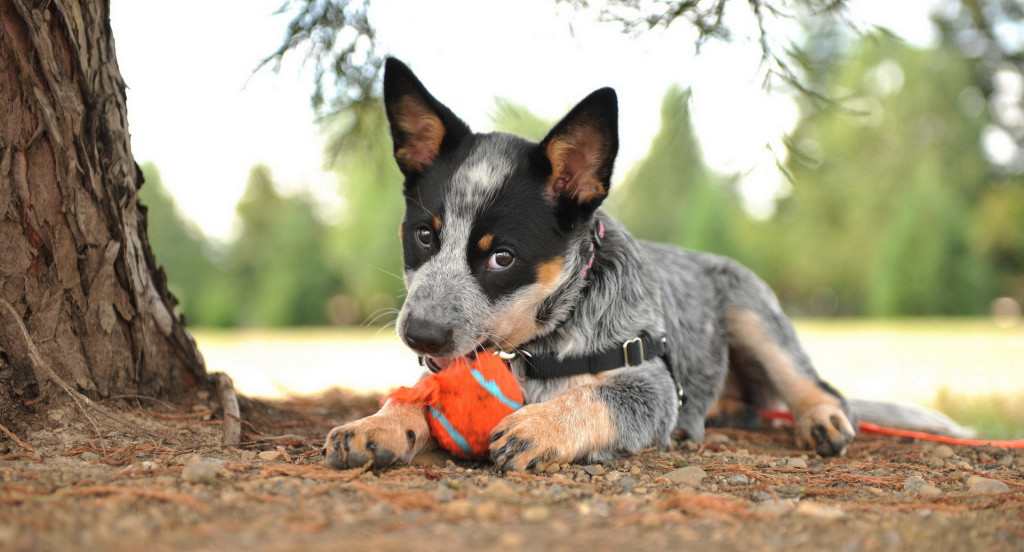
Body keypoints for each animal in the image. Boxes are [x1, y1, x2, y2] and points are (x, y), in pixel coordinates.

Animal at [325, 58, 856, 473]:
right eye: (424, 235)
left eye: (502, 257)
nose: (421, 334)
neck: (538, 347)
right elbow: (415, 393)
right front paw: (378, 423)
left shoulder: (653, 387)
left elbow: (600, 397)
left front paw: (541, 426)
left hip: (753, 314)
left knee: (819, 385)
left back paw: (822, 420)